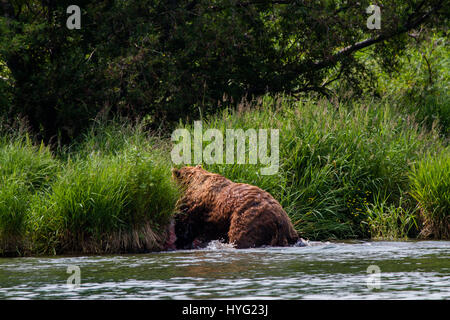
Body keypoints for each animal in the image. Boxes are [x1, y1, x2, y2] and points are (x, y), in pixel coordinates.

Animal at [169, 165, 298, 250]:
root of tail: (279, 219)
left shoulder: (195, 208)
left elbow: (185, 226)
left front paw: (180, 242)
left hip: (249, 218)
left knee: (241, 237)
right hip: (289, 229)